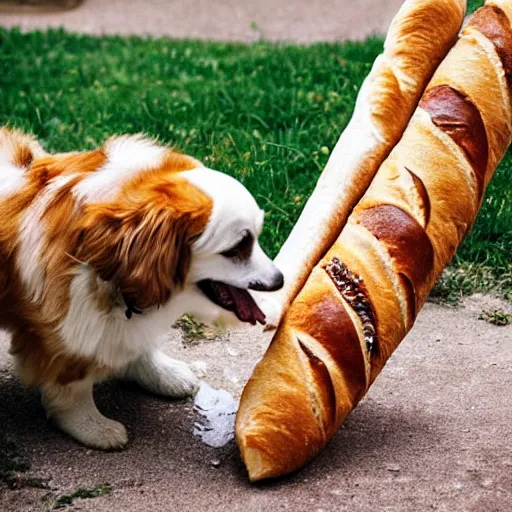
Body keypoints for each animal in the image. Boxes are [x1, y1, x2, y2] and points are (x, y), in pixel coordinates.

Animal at [0, 127, 284, 448]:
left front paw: (160, 374)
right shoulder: (64, 325)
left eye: (256, 239)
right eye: (237, 248)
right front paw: (91, 425)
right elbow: (73, 383)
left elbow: (137, 344)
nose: (280, 280)